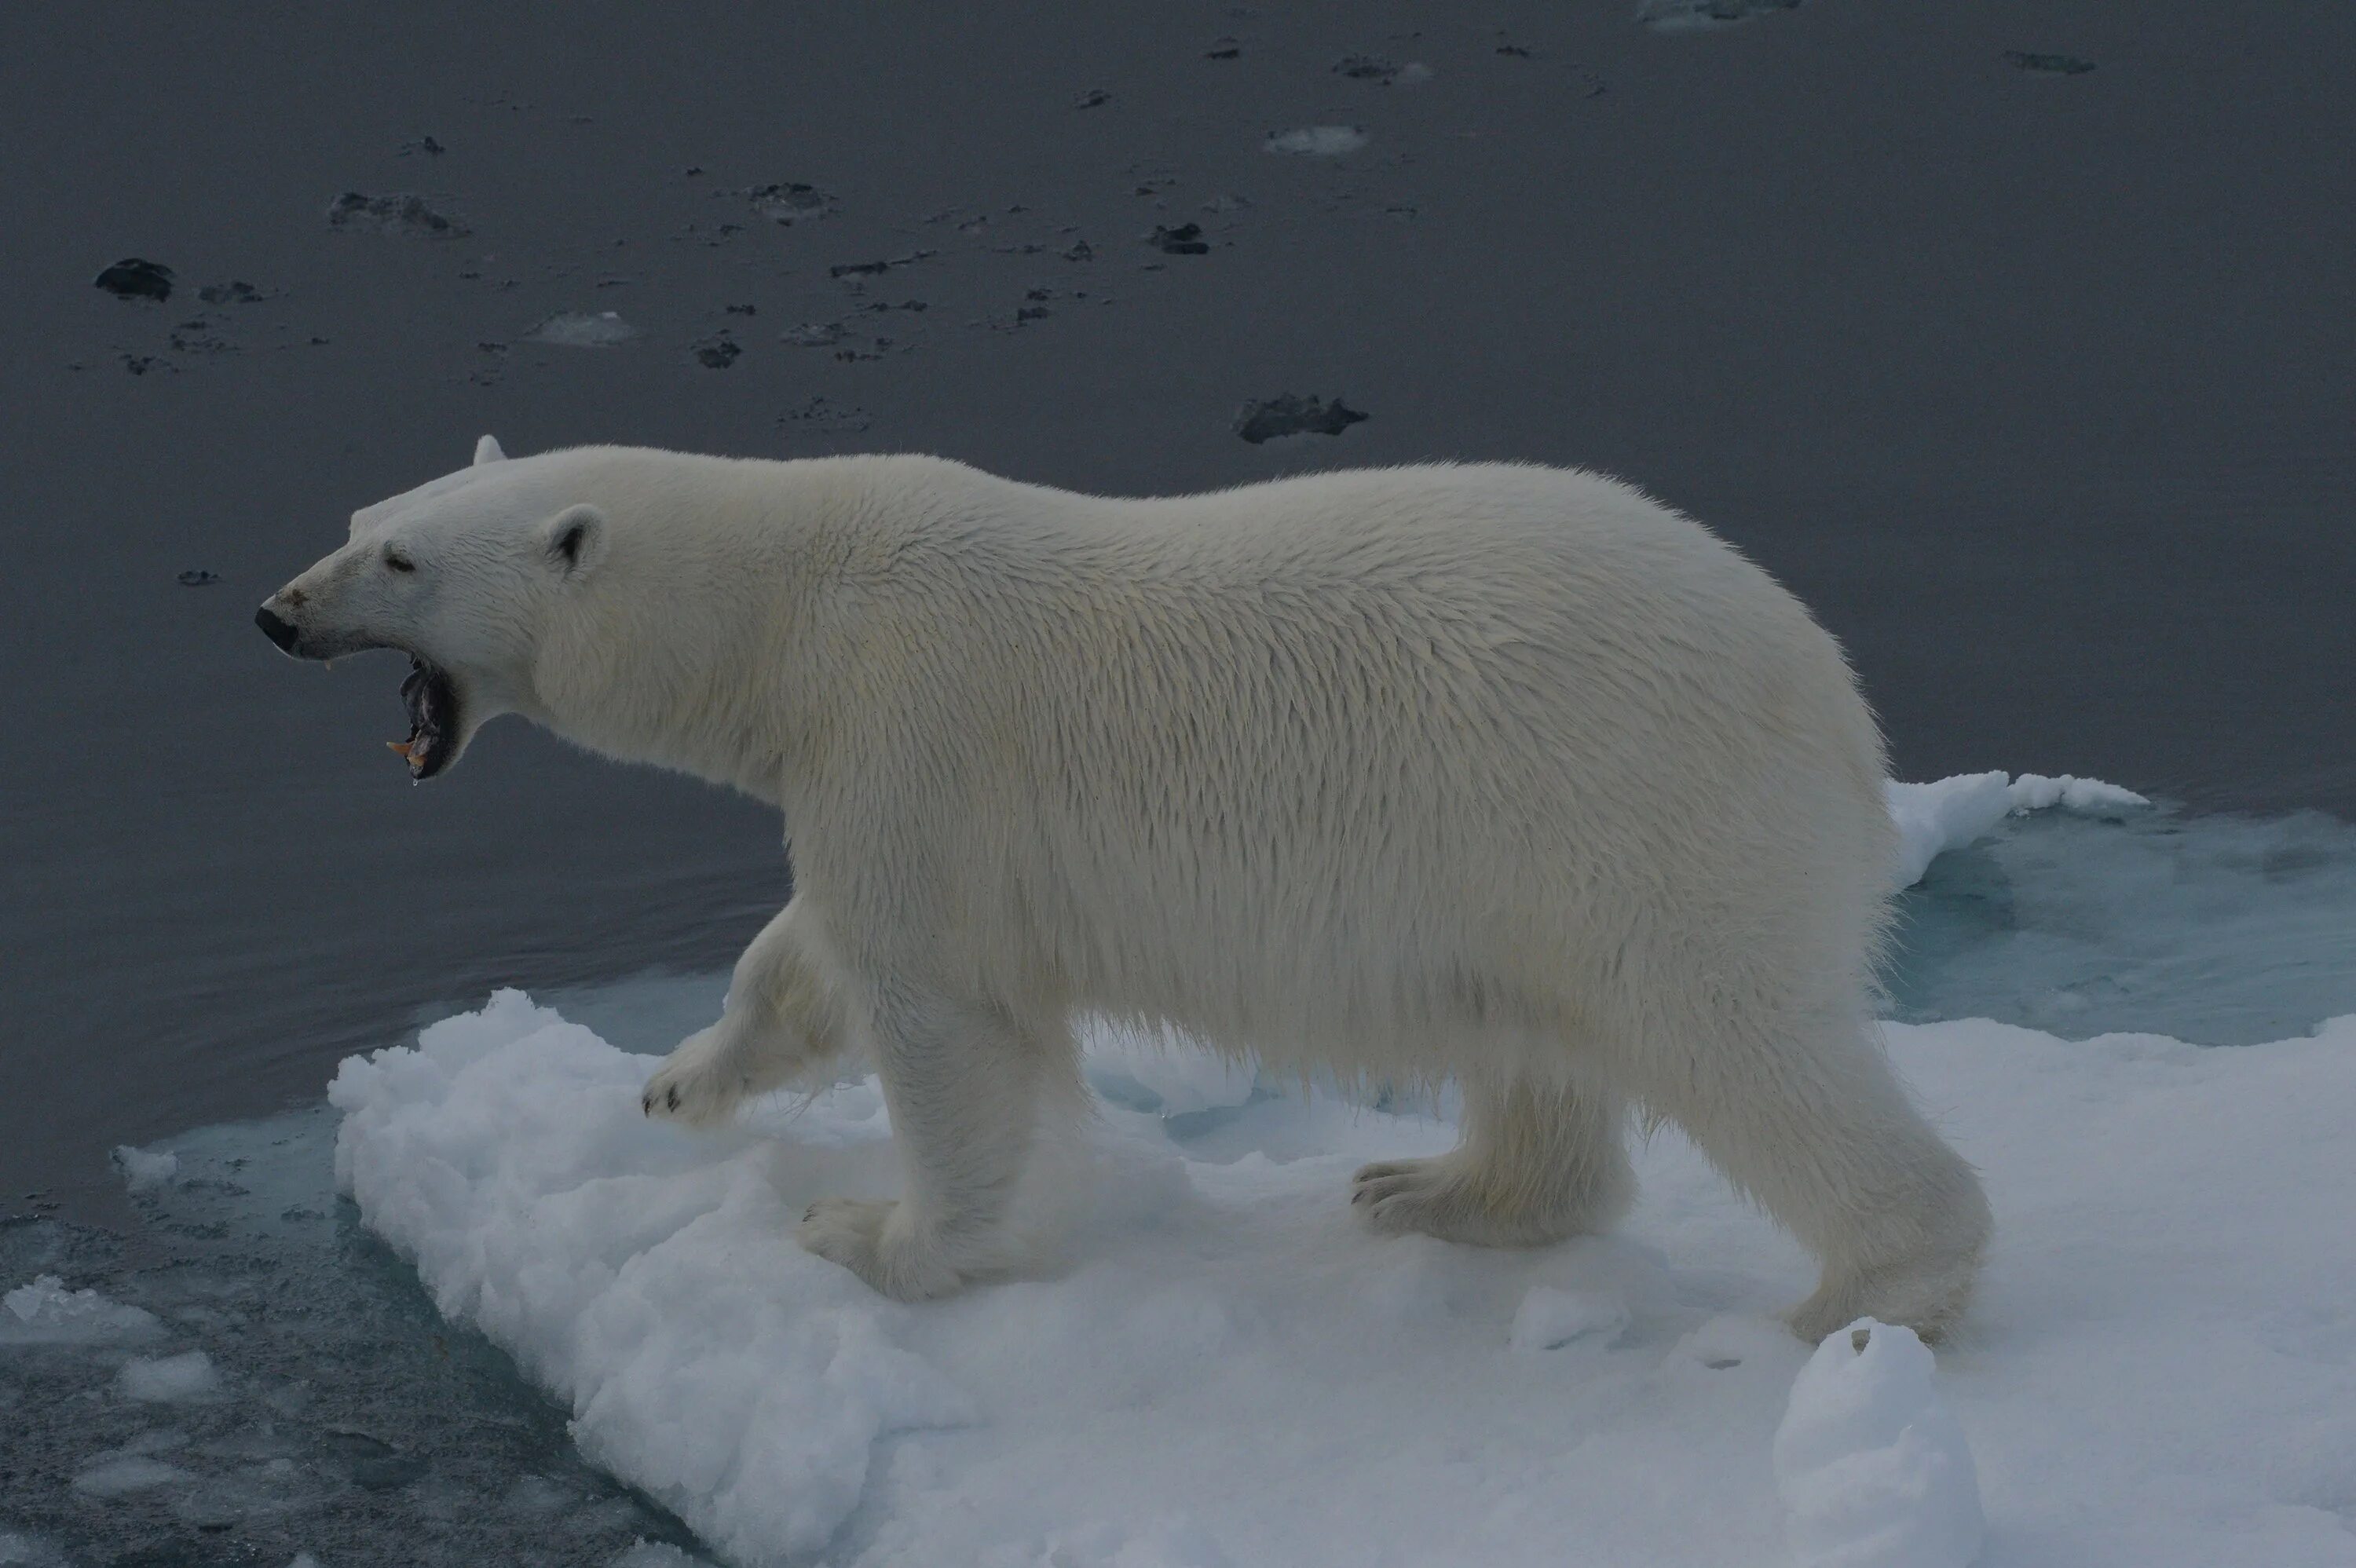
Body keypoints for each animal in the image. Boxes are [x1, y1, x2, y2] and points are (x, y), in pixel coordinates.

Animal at [258, 435, 1988, 1328]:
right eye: (361, 515)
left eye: (402, 561)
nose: (277, 610)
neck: (797, 603)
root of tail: (1835, 703)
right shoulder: (863, 764)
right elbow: (809, 950)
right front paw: (682, 1078)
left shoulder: (914, 730)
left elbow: (942, 1015)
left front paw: (876, 1233)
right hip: (1522, 860)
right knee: (1537, 1040)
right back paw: (1434, 1186)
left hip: (1633, 813)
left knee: (1739, 1041)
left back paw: (1871, 1289)